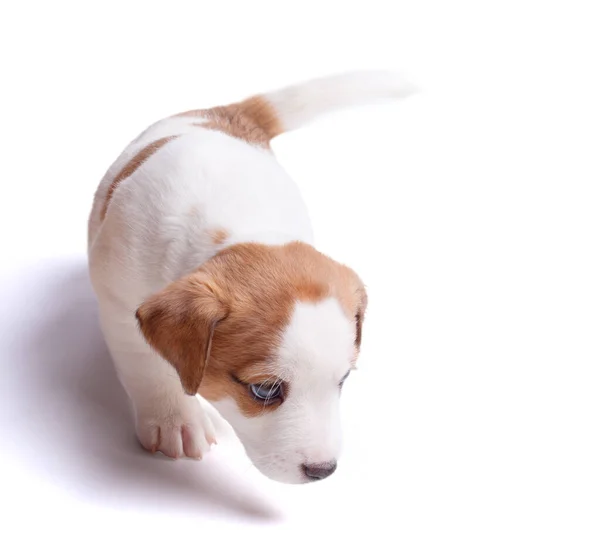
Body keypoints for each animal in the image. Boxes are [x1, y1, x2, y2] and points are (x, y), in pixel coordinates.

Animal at [89, 73, 414, 482]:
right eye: (264, 391)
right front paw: (174, 419)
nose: (323, 471)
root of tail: (227, 113)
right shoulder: (118, 301)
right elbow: (146, 366)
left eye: (342, 380)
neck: (239, 230)